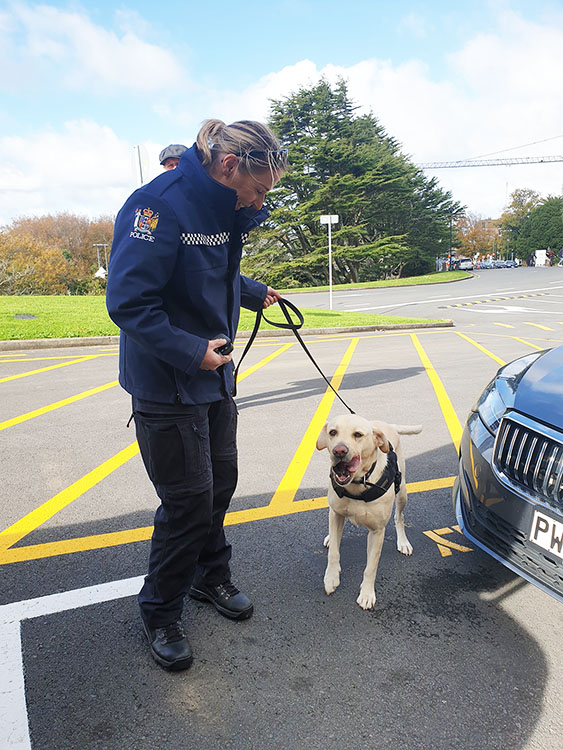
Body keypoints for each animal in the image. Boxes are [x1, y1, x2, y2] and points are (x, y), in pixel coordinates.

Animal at [320, 414, 420, 612]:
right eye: (332, 432)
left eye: (358, 435)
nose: (339, 451)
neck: (357, 484)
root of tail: (385, 425)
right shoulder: (336, 514)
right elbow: (334, 551)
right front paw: (331, 578)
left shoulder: (377, 531)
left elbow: (371, 567)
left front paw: (366, 594)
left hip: (402, 492)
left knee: (399, 516)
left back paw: (403, 542)